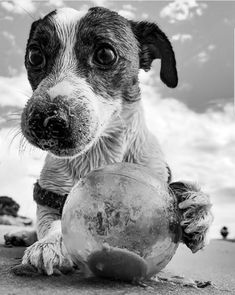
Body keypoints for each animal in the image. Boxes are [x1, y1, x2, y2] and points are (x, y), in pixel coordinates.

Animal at [4, 6, 213, 278]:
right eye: (34, 55)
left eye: (105, 54)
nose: (45, 119)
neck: (99, 154)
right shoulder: (49, 195)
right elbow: (52, 222)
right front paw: (52, 242)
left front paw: (197, 209)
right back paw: (21, 233)